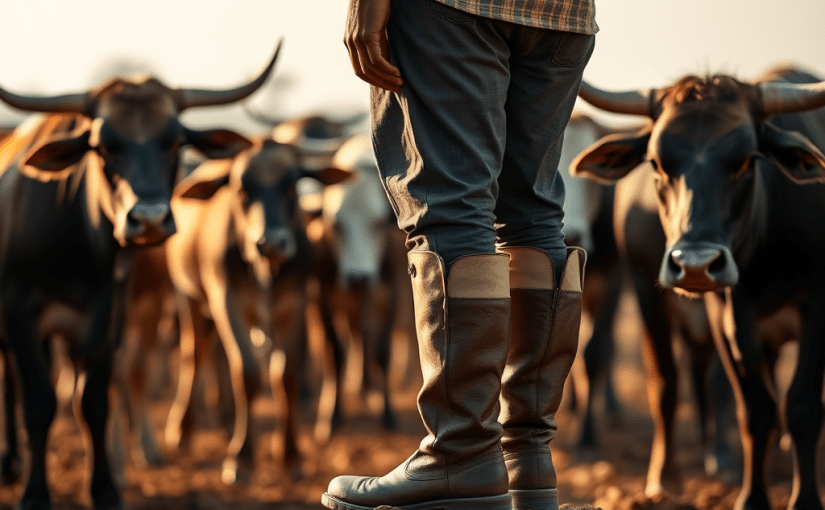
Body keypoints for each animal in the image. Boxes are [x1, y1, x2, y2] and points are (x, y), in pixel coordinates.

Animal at [0, 43, 281, 510]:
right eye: (102, 146)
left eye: (175, 141)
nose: (148, 218)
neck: (77, 254)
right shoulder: (19, 314)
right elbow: (39, 404)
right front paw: (35, 495)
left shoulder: (108, 319)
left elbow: (93, 402)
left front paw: (105, 489)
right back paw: (10, 463)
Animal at [163, 134, 352, 484]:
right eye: (241, 189)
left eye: (292, 185)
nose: (271, 242)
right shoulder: (227, 302)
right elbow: (248, 373)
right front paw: (241, 458)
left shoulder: (296, 305)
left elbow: (285, 375)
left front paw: (291, 457)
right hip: (188, 296)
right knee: (195, 354)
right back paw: (183, 429)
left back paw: (225, 421)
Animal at [572, 66, 825, 510]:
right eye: (656, 162)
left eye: (747, 161)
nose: (694, 264)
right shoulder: (718, 317)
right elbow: (747, 407)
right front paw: (740, 496)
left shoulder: (818, 308)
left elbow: (802, 406)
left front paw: (804, 500)